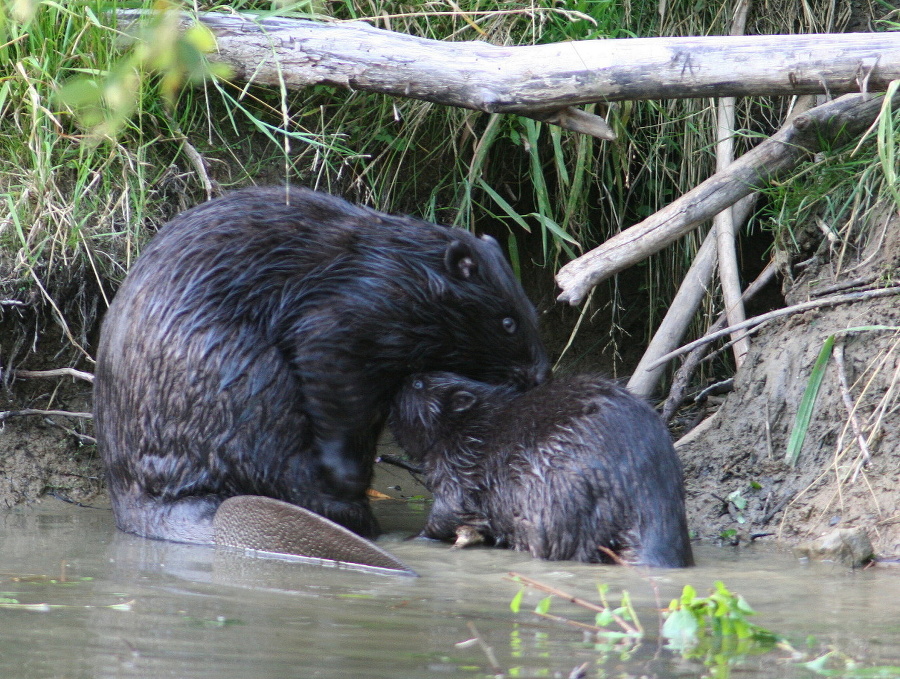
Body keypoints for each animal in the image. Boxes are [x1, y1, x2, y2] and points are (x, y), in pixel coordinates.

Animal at [98, 187, 548, 548]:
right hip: (249, 380)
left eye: (531, 313)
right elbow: (328, 364)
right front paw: (347, 479)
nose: (538, 378)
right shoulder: (355, 308)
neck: (403, 264)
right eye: (508, 322)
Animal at [390, 372, 692, 568]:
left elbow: (452, 508)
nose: (404, 378)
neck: (473, 426)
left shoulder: (458, 464)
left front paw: (410, 539)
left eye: (418, 383)